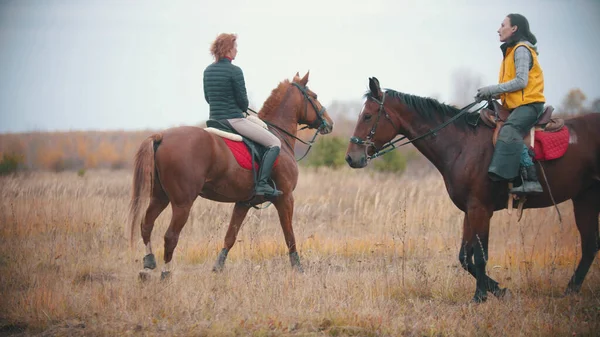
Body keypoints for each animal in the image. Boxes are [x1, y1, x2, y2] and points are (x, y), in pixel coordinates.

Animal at [128, 73, 332, 278]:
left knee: (146, 225)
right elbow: (289, 235)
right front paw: (298, 268)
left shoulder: (243, 203)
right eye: (314, 96)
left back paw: (148, 263)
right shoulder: (286, 198)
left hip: (160, 197)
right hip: (182, 203)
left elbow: (230, 236)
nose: (329, 123)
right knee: (170, 236)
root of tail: (161, 136)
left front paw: (218, 267)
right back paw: (165, 274)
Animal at [344, 77, 596, 302]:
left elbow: (481, 256)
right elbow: (465, 257)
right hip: (585, 198)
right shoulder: (469, 210)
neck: (462, 145)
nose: (351, 158)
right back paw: (571, 290)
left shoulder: (480, 209)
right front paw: (499, 290)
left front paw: (480, 296)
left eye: (367, 116)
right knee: (590, 245)